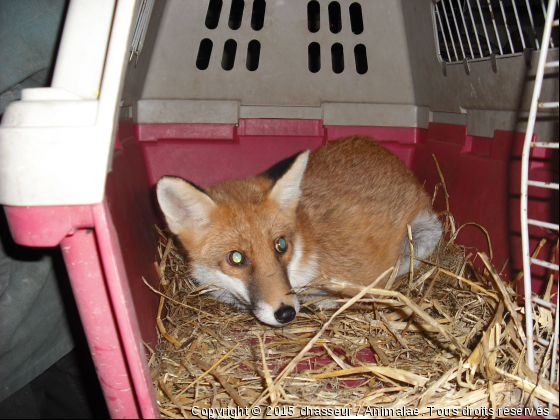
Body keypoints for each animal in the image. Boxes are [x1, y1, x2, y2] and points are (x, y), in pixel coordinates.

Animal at [156, 136, 442, 326]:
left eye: (281, 245)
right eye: (236, 258)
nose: (286, 314)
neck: (304, 255)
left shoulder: (365, 279)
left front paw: (323, 303)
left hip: (423, 237)